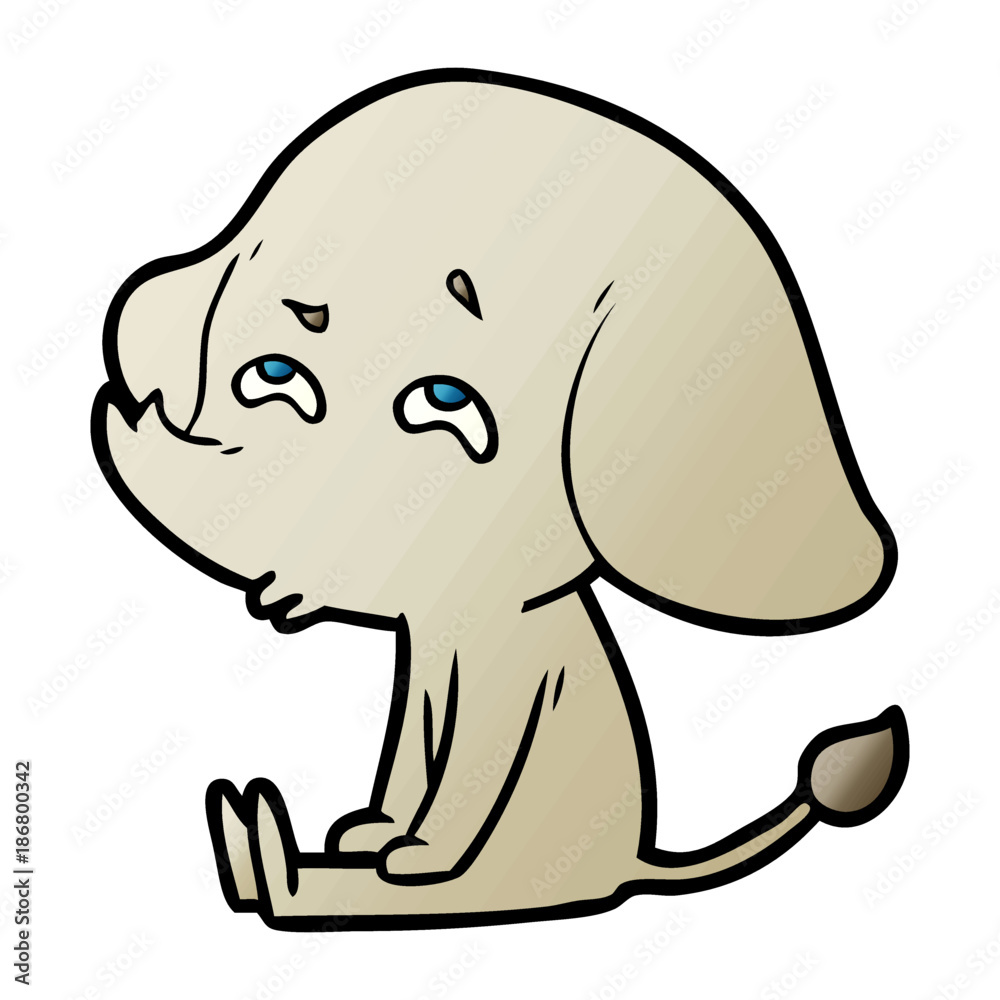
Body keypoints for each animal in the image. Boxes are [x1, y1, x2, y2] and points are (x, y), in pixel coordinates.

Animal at [92, 68, 907, 931]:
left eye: (445, 403)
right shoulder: (427, 654)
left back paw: (289, 867)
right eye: (273, 377)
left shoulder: (493, 659)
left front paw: (414, 857)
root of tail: (634, 865)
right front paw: (372, 832)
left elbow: (473, 758)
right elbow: (413, 745)